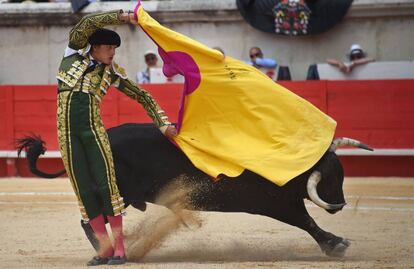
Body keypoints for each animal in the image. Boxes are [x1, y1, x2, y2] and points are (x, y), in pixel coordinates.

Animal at [16, 122, 374, 256]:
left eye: (341, 174)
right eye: (330, 179)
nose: (341, 204)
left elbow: (306, 221)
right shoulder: (276, 203)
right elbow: (307, 221)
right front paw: (336, 244)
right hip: (111, 192)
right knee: (88, 220)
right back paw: (108, 251)